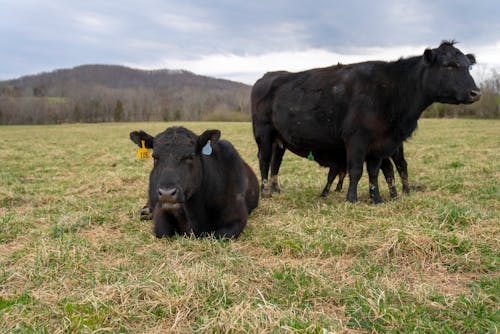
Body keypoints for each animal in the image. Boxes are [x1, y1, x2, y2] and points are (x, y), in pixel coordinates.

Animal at [130, 126, 258, 239]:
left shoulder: (237, 216)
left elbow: (221, 235)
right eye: (155, 157)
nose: (167, 193)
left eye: (190, 156)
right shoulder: (162, 210)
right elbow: (162, 232)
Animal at [254, 41, 480, 204]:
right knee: (264, 161)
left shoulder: (380, 144)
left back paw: (276, 189)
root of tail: (268, 76)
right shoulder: (356, 139)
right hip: (263, 134)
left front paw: (376, 198)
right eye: (448, 65)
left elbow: (374, 171)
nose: (475, 93)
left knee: (275, 162)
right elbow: (356, 170)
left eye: (468, 66)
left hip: (279, 140)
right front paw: (351, 199)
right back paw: (265, 192)